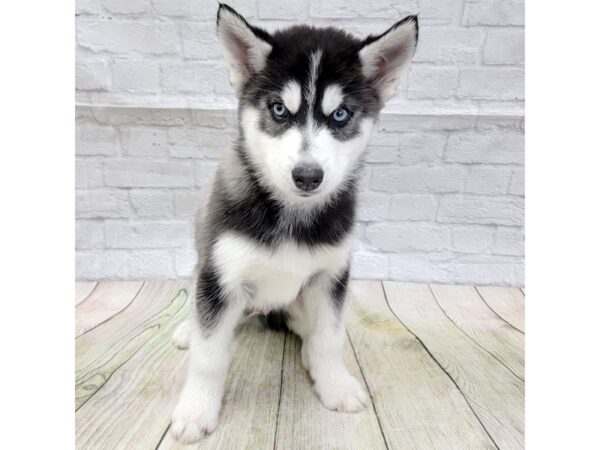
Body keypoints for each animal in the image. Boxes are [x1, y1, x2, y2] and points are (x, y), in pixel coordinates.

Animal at [170, 1, 418, 442]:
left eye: (340, 114)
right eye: (279, 109)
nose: (307, 176)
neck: (292, 214)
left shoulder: (331, 276)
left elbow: (330, 337)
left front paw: (334, 383)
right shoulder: (221, 276)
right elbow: (209, 354)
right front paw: (196, 410)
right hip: (205, 268)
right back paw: (187, 330)